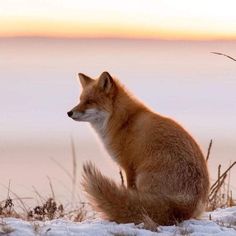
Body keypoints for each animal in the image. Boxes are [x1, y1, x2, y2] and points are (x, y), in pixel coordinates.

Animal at [67, 71, 209, 225]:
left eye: (89, 101)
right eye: (80, 100)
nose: (69, 113)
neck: (124, 121)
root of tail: (185, 205)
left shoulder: (129, 166)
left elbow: (129, 190)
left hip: (142, 177)